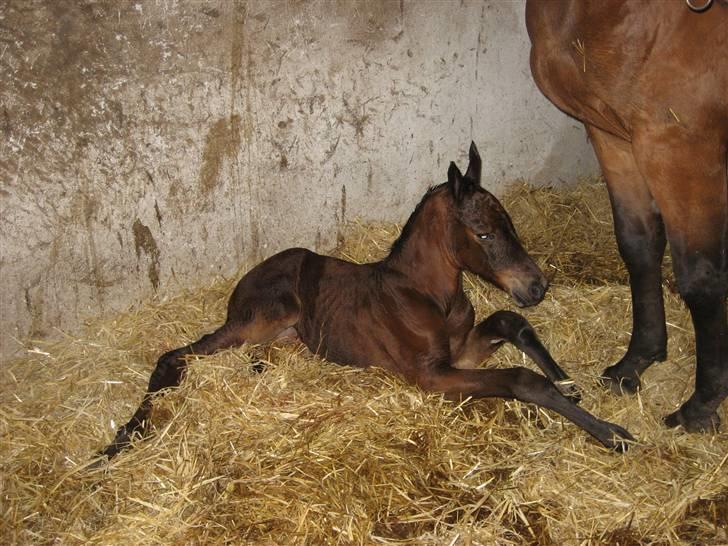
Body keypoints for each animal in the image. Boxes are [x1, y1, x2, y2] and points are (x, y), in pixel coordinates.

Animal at [101, 142, 632, 456]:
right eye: (483, 232)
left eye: (511, 224)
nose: (536, 286)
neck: (426, 295)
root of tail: (246, 278)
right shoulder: (431, 375)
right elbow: (520, 379)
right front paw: (611, 432)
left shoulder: (459, 354)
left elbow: (508, 322)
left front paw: (569, 383)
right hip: (263, 315)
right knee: (175, 355)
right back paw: (123, 437)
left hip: (282, 334)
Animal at [528, 2, 724, 432]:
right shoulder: (614, 135)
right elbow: (639, 245)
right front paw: (636, 361)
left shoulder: (681, 149)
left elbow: (701, 278)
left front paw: (702, 405)